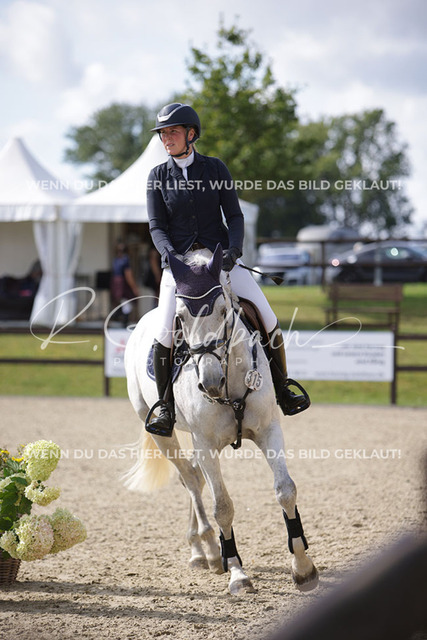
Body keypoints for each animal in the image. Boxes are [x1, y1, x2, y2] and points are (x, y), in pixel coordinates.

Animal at [123, 244, 318, 595]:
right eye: (180, 319)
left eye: (224, 311)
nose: (210, 382)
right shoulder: (205, 444)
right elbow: (222, 507)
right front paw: (238, 574)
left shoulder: (269, 430)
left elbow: (285, 490)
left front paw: (303, 568)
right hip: (163, 433)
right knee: (189, 478)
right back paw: (207, 551)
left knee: (195, 478)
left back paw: (207, 552)